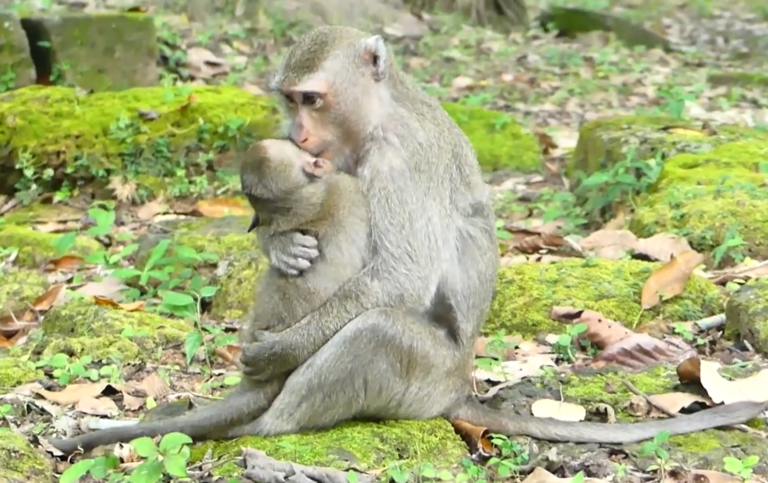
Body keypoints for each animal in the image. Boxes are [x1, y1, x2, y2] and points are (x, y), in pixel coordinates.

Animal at [225, 26, 768, 443]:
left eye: (313, 100)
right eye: (290, 100)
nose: (298, 132)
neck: (378, 117)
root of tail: (458, 388)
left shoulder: (401, 160)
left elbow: (401, 277)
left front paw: (276, 352)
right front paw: (279, 244)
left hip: (424, 378)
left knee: (377, 333)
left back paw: (265, 426)